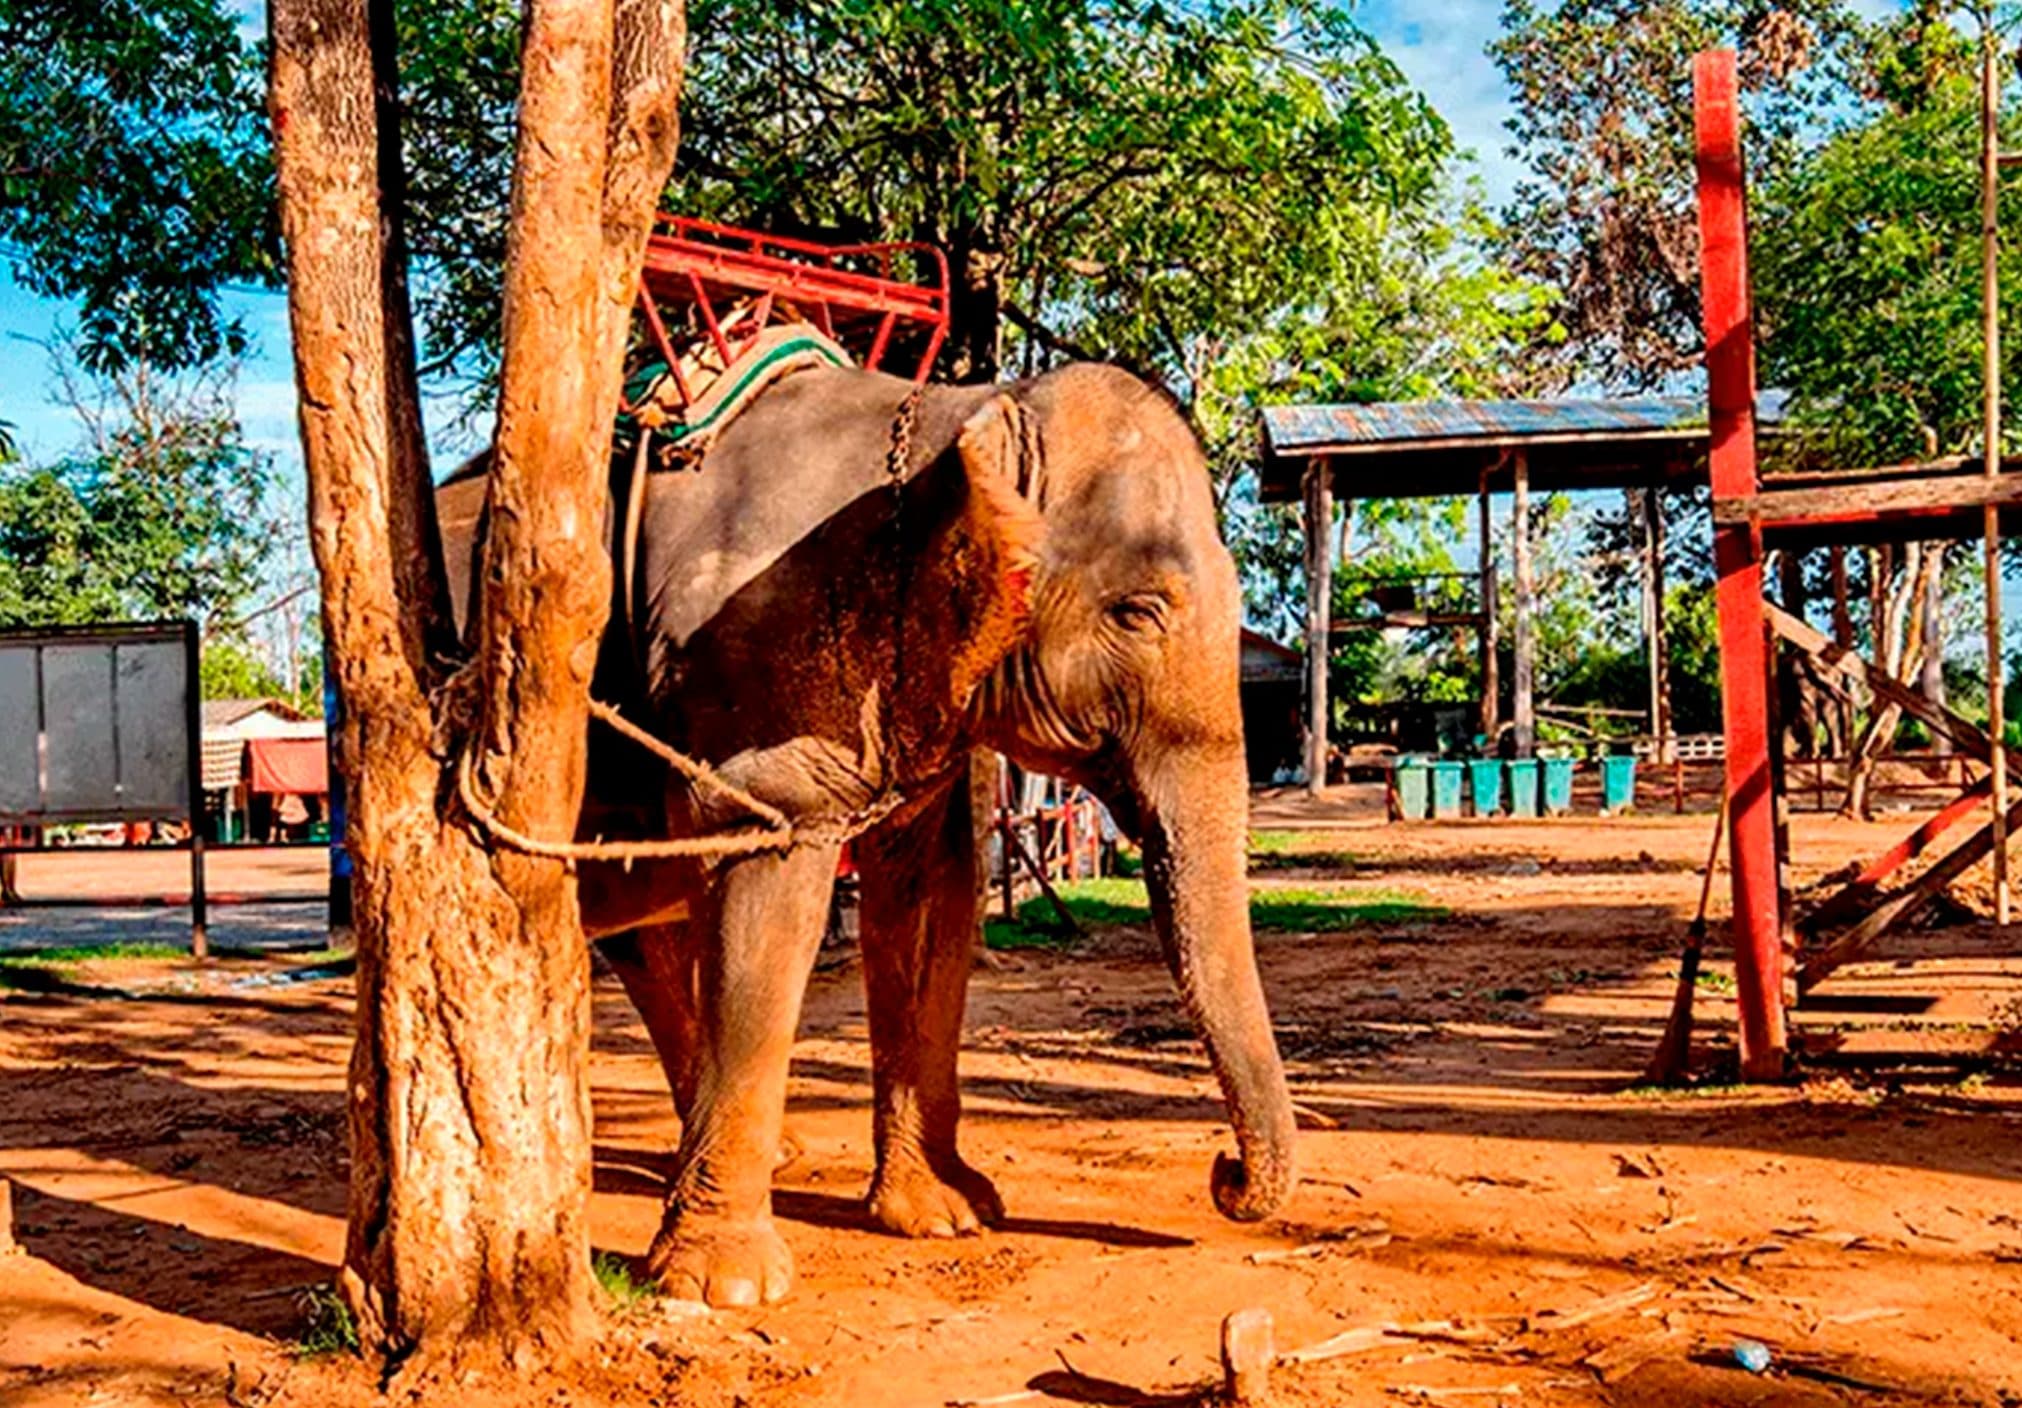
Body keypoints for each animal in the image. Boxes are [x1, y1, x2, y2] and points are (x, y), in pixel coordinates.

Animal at [438, 361, 1296, 1308]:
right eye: (1139, 612)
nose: (1223, 1176)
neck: (956, 415)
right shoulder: (758, 683)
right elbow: (765, 886)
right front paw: (726, 1288)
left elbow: (930, 893)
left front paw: (946, 1215)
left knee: (639, 940)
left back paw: (767, 1155)